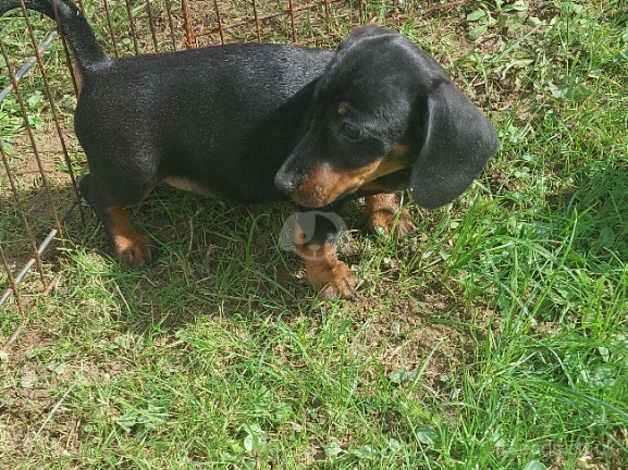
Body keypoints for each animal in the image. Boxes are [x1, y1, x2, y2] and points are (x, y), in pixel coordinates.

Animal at [2, 0, 498, 298]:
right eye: (313, 111)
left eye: (352, 131)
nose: (282, 183)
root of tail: (100, 68)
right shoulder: (318, 204)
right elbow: (321, 244)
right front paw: (333, 279)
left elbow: (383, 196)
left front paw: (388, 215)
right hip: (132, 171)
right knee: (93, 189)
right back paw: (130, 241)